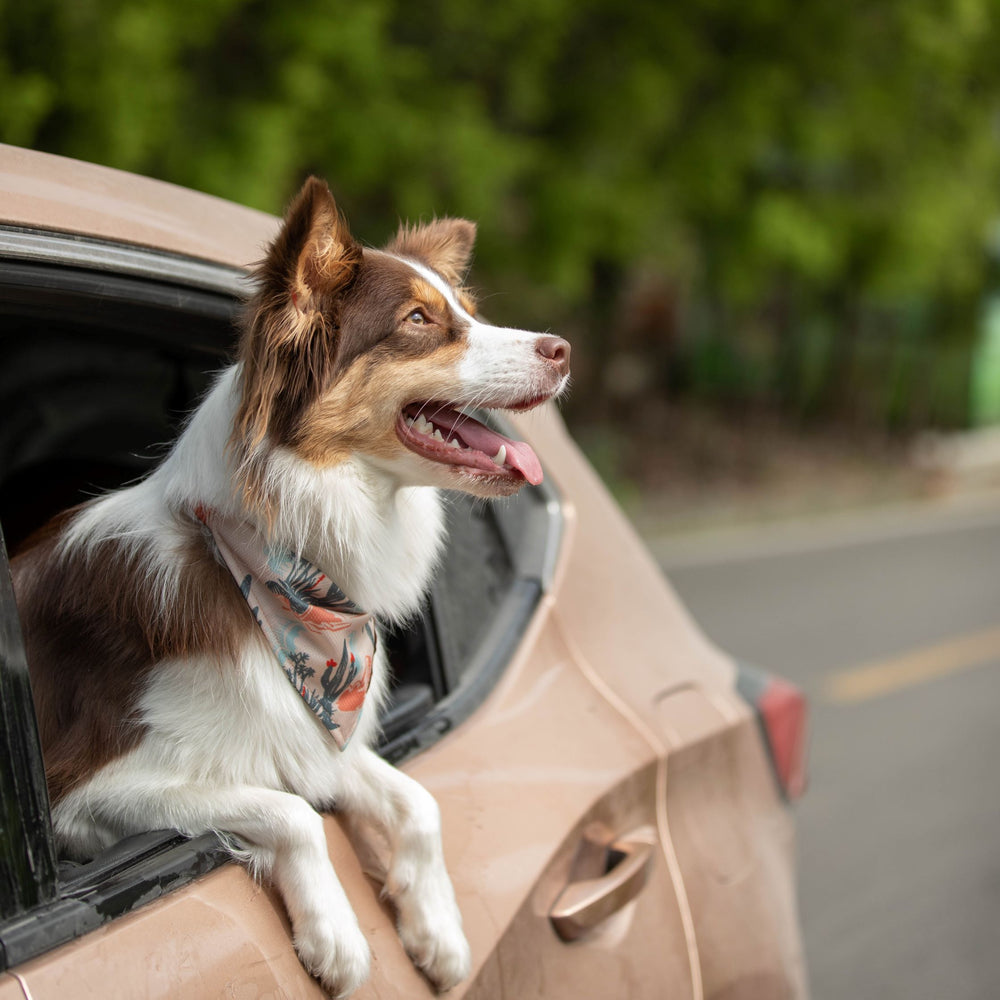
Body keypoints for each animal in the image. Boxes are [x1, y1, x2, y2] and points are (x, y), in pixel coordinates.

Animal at [11, 176, 572, 996]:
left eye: (463, 309)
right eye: (418, 321)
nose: (563, 350)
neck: (280, 581)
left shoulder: (315, 733)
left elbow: (417, 800)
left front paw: (436, 929)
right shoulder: (84, 792)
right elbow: (291, 813)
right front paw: (335, 936)